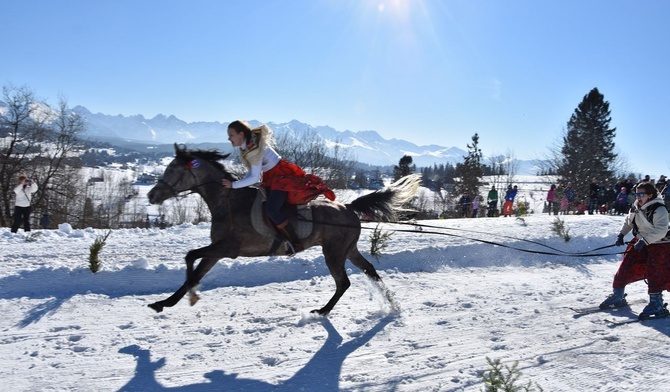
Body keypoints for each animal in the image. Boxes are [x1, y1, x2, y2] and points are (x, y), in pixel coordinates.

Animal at [148, 144, 422, 316]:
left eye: (172, 170)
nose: (152, 195)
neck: (229, 202)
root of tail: (347, 207)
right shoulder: (217, 251)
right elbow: (195, 271)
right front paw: (165, 302)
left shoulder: (226, 248)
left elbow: (191, 258)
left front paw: (185, 297)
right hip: (348, 249)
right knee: (369, 270)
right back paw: (392, 304)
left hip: (334, 252)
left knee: (343, 282)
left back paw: (322, 311)